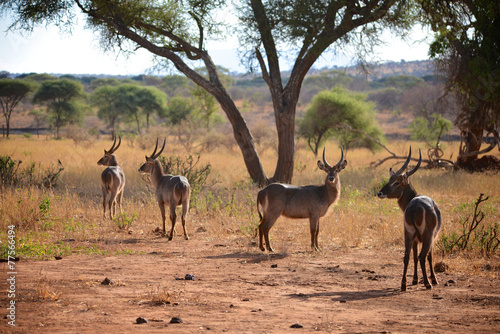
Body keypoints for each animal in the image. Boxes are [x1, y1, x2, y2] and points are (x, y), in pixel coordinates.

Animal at [376, 147, 444, 290]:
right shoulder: (432, 237)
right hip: (427, 235)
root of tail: (415, 205)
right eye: (390, 180)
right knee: (422, 256)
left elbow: (413, 257)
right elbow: (429, 256)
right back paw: (428, 284)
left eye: (396, 182)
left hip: (408, 233)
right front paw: (433, 279)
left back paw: (403, 284)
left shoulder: (415, 239)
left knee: (407, 257)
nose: (379, 193)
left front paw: (414, 280)